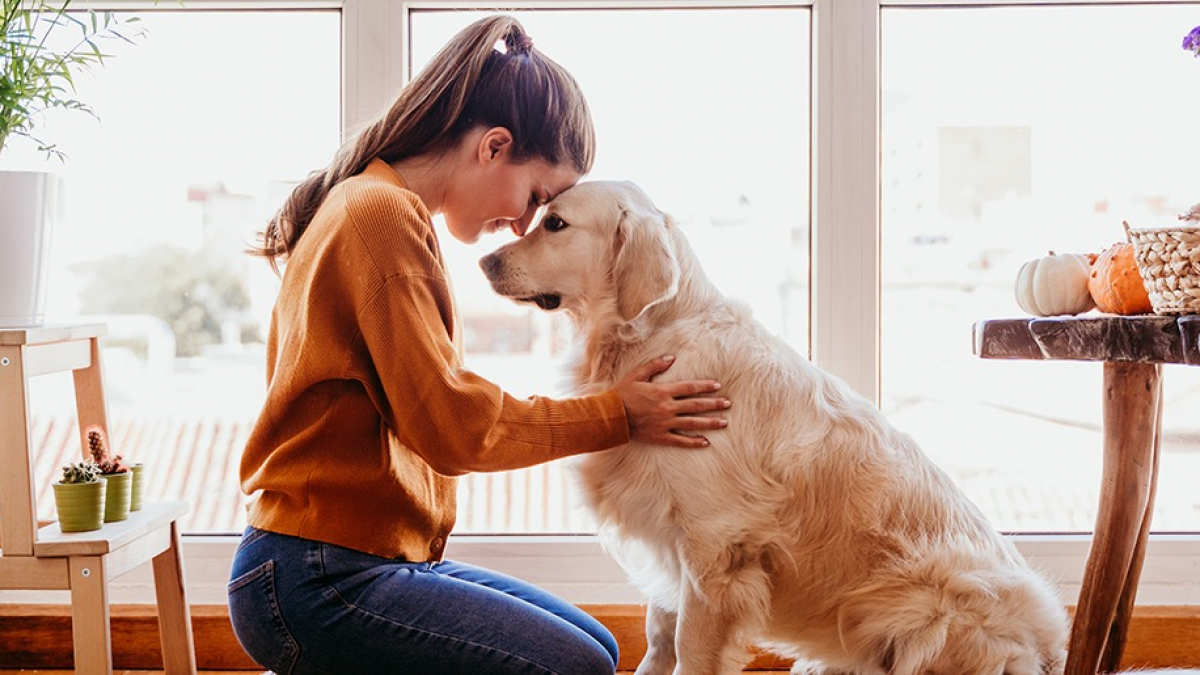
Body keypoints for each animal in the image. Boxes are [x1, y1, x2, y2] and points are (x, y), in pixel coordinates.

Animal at [482, 180, 1185, 672]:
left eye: (555, 223)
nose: (485, 261)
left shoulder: (715, 554)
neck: (651, 338)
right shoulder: (668, 542)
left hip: (932, 603)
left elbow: (689, 651)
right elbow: (658, 641)